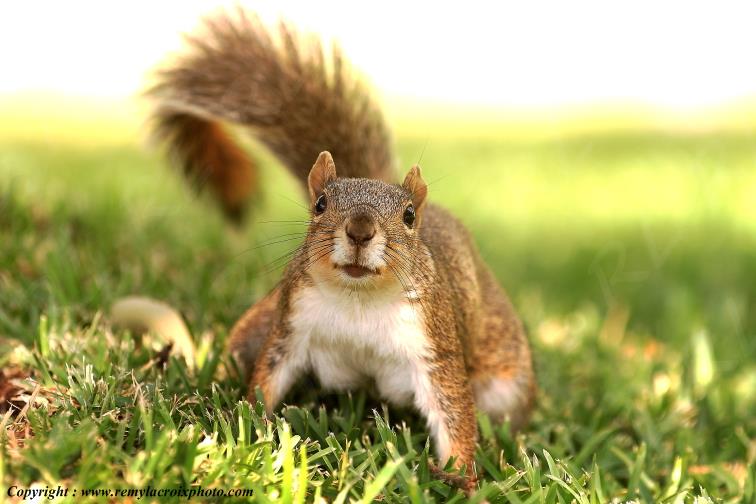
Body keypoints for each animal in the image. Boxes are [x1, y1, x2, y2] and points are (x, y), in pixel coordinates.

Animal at [148, 9, 536, 489]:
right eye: (319, 203)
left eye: (409, 215)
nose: (360, 231)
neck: (359, 299)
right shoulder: (291, 325)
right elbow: (268, 375)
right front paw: (246, 427)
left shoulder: (435, 346)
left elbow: (454, 413)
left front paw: (461, 479)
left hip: (504, 379)